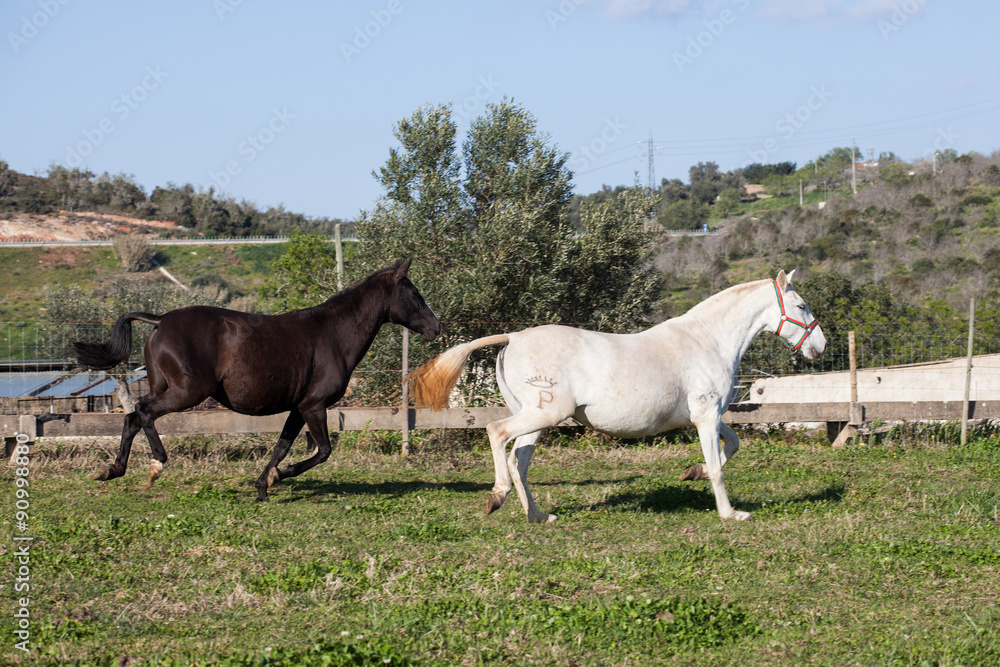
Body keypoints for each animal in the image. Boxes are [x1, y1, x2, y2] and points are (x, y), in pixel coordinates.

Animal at [73, 259, 441, 501]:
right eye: (415, 294)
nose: (437, 328)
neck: (334, 335)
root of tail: (160, 319)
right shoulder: (314, 405)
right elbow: (323, 450)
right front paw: (280, 476)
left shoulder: (298, 407)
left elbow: (282, 446)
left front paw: (264, 486)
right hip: (188, 392)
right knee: (144, 411)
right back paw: (155, 466)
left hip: (166, 387)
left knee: (132, 417)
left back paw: (112, 470)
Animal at [407, 270, 826, 523]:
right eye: (802, 305)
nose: (820, 346)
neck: (708, 340)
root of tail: (512, 337)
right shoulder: (705, 416)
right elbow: (720, 466)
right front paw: (731, 514)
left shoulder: (708, 416)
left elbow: (733, 444)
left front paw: (693, 472)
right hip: (543, 415)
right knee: (497, 434)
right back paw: (497, 496)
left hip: (536, 420)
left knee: (519, 460)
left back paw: (539, 517)